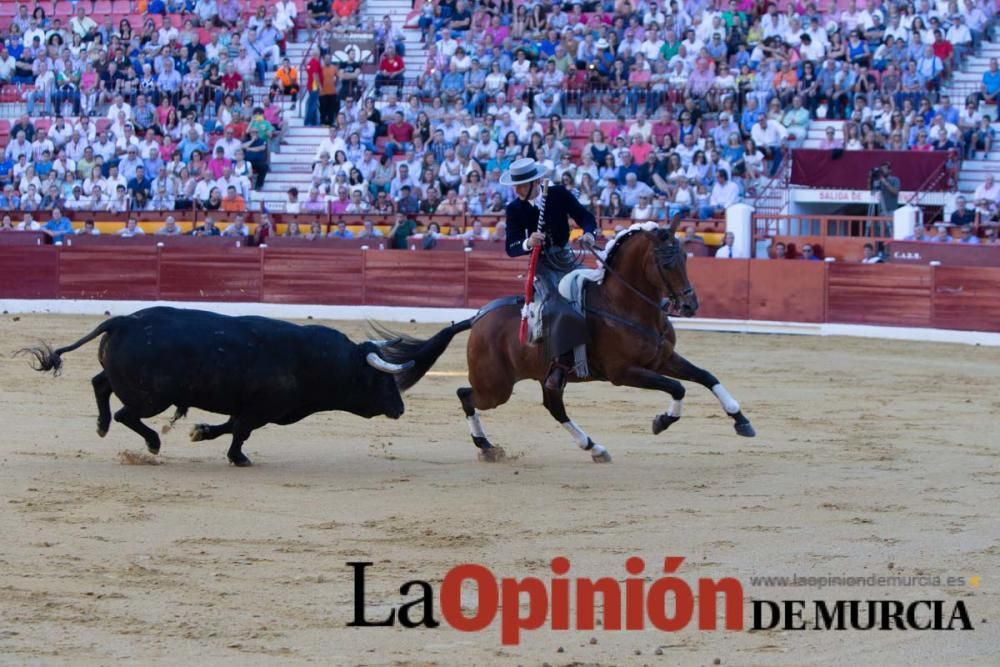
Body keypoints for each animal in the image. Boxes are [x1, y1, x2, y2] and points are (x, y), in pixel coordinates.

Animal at [22, 306, 468, 464]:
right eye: (380, 378)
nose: (400, 408)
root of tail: (123, 321)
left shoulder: (254, 408)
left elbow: (229, 425)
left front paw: (201, 432)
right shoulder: (261, 410)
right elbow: (240, 431)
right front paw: (237, 457)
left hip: (134, 385)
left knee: (100, 385)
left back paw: (102, 427)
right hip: (152, 398)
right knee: (124, 412)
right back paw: (152, 443)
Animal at [378, 222, 752, 462]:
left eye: (686, 257)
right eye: (665, 261)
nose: (690, 305)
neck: (625, 305)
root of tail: (479, 317)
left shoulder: (662, 359)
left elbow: (705, 376)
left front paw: (741, 421)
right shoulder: (624, 373)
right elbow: (678, 387)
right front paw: (662, 421)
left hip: (545, 378)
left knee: (553, 407)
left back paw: (594, 447)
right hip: (496, 387)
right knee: (465, 394)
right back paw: (487, 446)